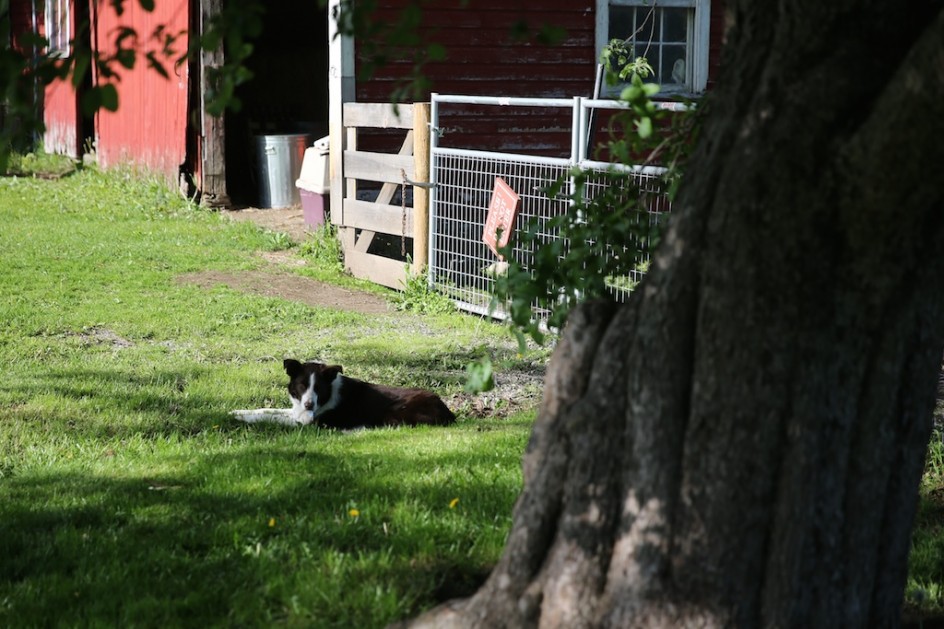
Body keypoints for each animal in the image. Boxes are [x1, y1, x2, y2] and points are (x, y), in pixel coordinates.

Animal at [230, 356, 456, 430]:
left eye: (318, 388)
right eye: (302, 385)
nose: (309, 405)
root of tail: (449, 412)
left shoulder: (309, 422)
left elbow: (271, 418)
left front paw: (242, 419)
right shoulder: (298, 410)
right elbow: (266, 410)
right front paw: (237, 412)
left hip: (393, 412)